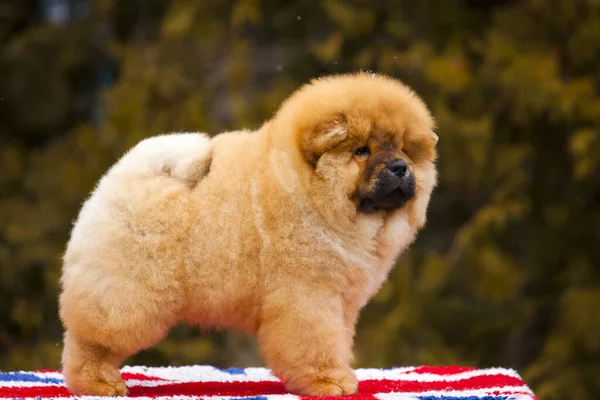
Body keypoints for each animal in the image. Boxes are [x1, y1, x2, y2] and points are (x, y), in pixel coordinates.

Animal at [59, 72, 436, 396]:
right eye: (361, 151)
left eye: (403, 148)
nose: (400, 168)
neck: (307, 192)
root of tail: (122, 176)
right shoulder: (308, 295)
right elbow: (315, 343)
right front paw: (327, 381)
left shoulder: (341, 302)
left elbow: (337, 341)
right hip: (130, 296)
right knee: (90, 341)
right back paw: (97, 382)